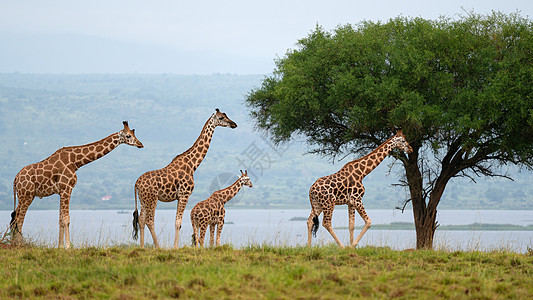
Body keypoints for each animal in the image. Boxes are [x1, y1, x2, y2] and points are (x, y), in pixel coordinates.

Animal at [10, 120, 143, 247]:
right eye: (128, 135)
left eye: (134, 133)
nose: (140, 144)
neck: (75, 161)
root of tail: (16, 179)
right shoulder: (66, 188)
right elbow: (66, 219)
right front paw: (68, 247)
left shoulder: (61, 191)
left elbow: (60, 219)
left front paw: (60, 246)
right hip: (26, 195)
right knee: (19, 220)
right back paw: (19, 245)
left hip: (25, 196)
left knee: (14, 218)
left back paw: (14, 243)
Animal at [132, 108, 236, 248]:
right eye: (221, 118)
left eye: (226, 115)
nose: (234, 124)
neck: (192, 165)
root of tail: (137, 183)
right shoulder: (184, 194)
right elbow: (178, 223)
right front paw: (175, 248)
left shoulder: (179, 196)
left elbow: (178, 222)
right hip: (152, 199)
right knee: (149, 220)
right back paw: (157, 247)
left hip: (143, 199)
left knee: (141, 220)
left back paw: (142, 247)